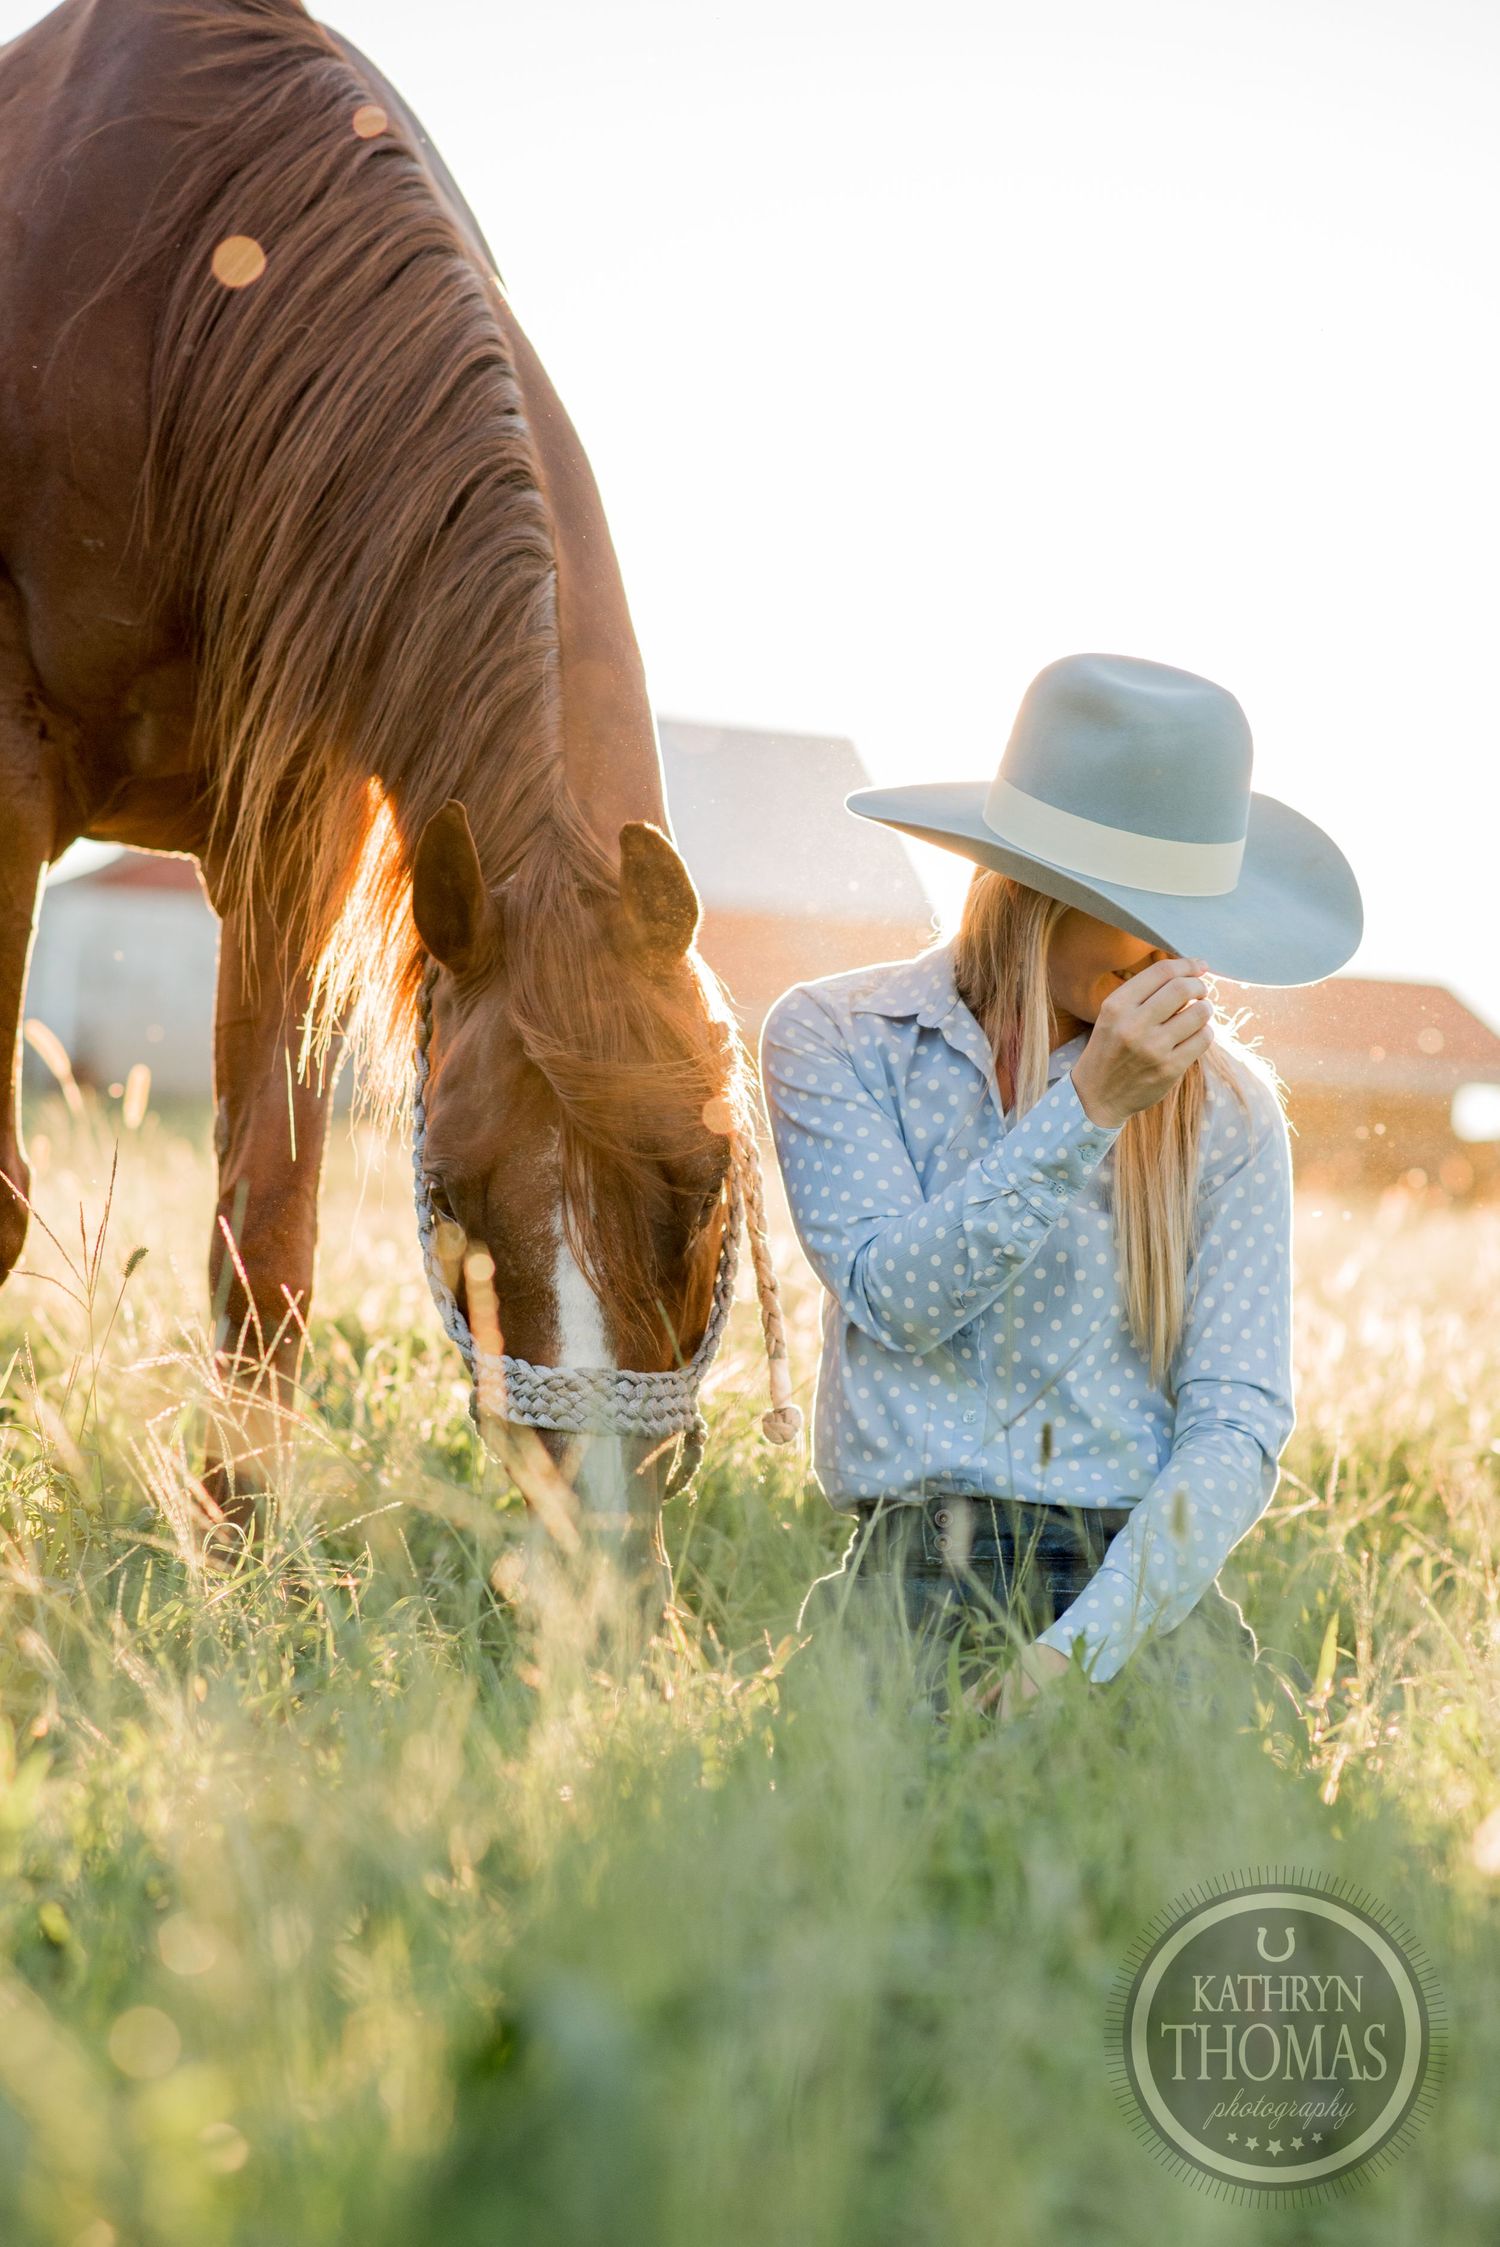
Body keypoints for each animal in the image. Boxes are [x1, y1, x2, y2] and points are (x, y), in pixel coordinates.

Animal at [0, 0, 775, 1544]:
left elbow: (268, 1231)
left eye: (708, 1172)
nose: (602, 1545)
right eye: (453, 1191)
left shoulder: (284, 831)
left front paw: (242, 1554)